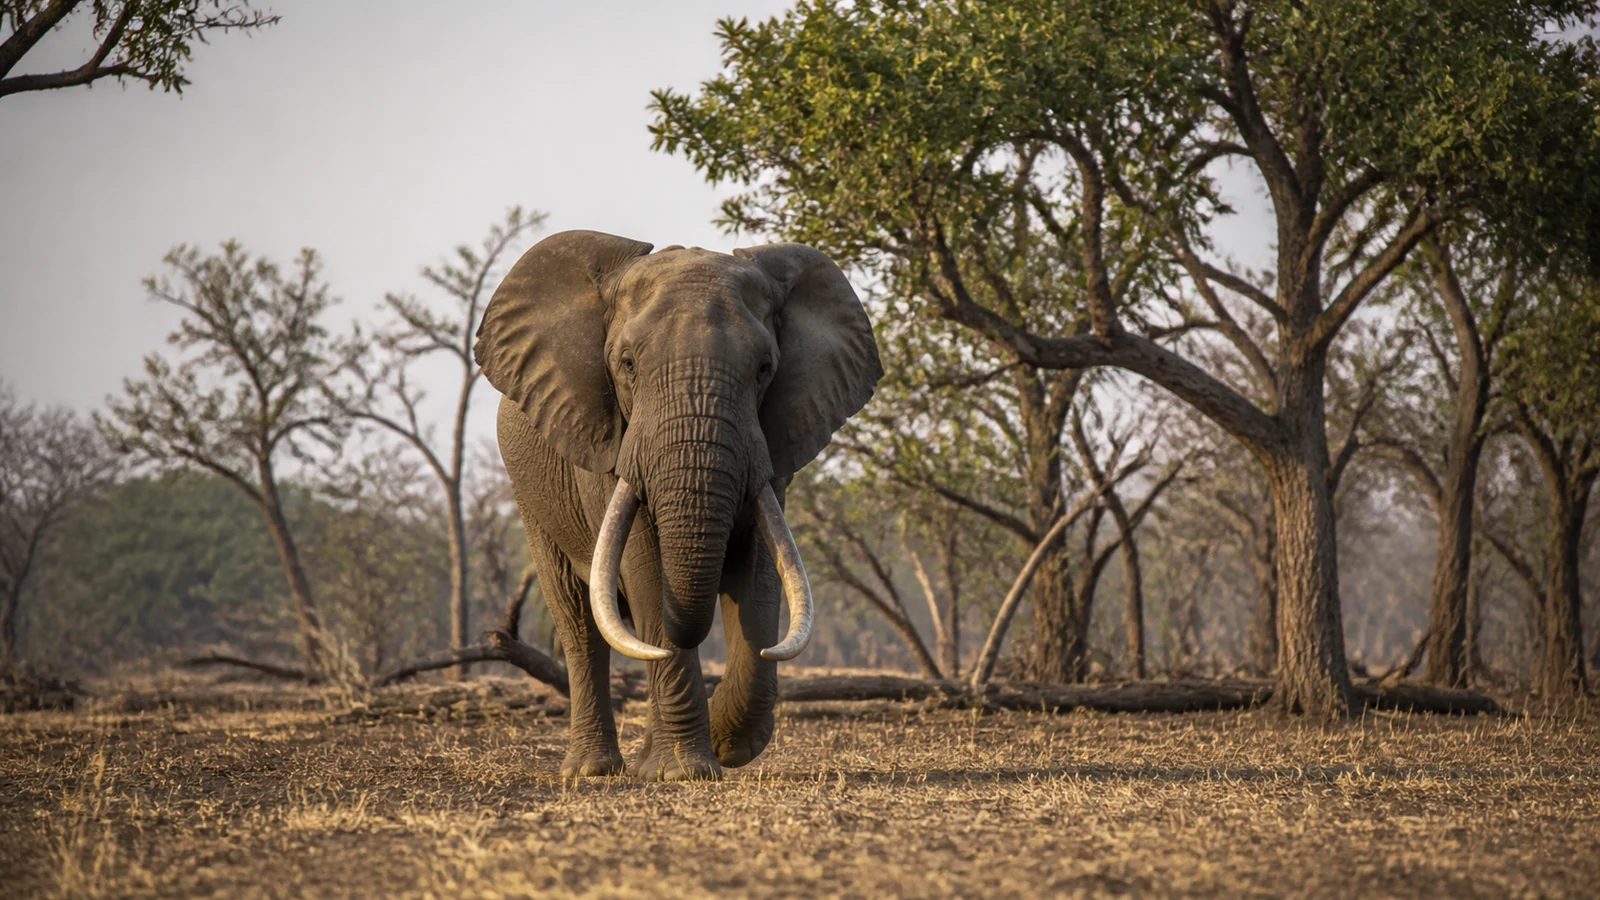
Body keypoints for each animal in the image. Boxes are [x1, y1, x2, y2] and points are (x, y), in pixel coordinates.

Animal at [474, 230, 882, 781]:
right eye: (627, 364)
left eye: (765, 369)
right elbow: (647, 570)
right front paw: (685, 772)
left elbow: (761, 570)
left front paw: (725, 747)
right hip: (530, 494)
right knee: (579, 623)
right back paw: (593, 771)